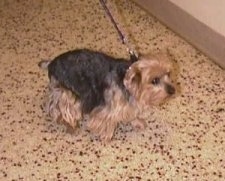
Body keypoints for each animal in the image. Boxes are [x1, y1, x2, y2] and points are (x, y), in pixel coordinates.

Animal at [38, 48, 176, 141]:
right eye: (155, 80)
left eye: (168, 74)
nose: (173, 90)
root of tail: (51, 63)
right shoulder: (109, 107)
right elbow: (105, 120)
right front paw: (106, 137)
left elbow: (131, 114)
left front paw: (137, 122)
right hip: (66, 91)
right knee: (62, 107)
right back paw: (71, 126)